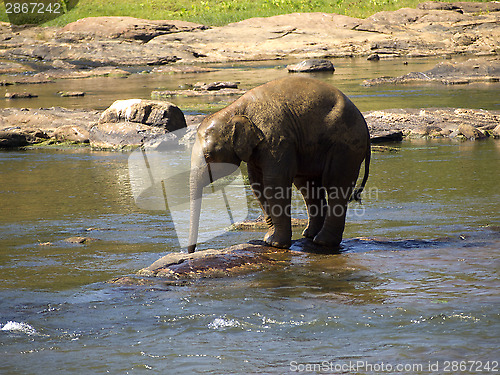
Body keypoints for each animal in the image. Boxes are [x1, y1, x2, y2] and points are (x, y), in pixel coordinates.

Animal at [188, 75, 372, 253]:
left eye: (208, 156)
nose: (191, 251)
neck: (235, 110)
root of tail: (364, 123)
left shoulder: (275, 139)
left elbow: (275, 181)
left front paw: (277, 245)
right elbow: (258, 184)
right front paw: (268, 240)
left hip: (345, 146)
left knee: (335, 184)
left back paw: (322, 242)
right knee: (308, 186)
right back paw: (309, 235)